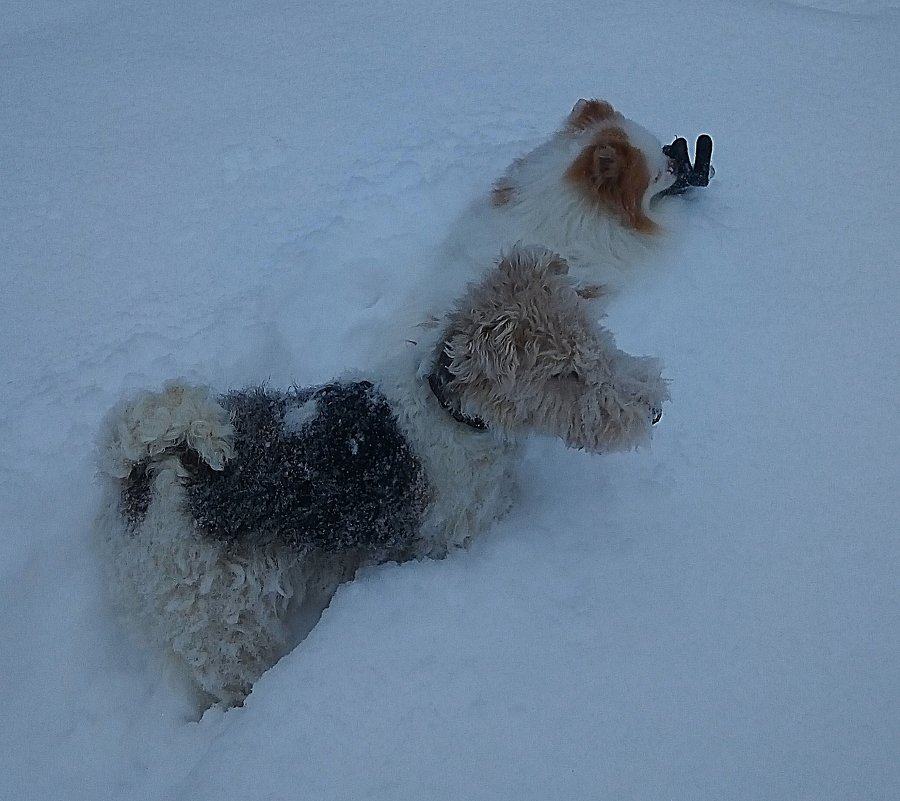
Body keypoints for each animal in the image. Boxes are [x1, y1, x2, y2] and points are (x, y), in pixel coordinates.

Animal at [95, 245, 668, 708]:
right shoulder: (453, 537)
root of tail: (145, 471)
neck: (451, 411)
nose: (655, 408)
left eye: (594, 332)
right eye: (562, 373)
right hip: (221, 622)